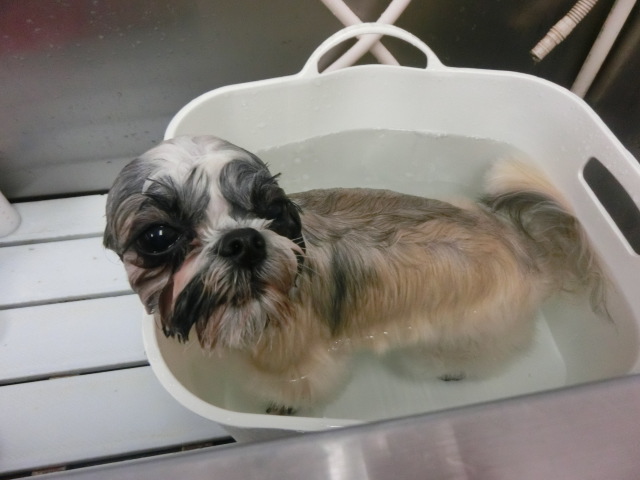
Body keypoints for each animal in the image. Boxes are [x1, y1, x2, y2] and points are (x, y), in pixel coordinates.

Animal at [104, 135, 605, 414]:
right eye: (158, 237)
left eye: (271, 209)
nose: (243, 240)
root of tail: (519, 242)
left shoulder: (301, 362)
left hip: (458, 335)